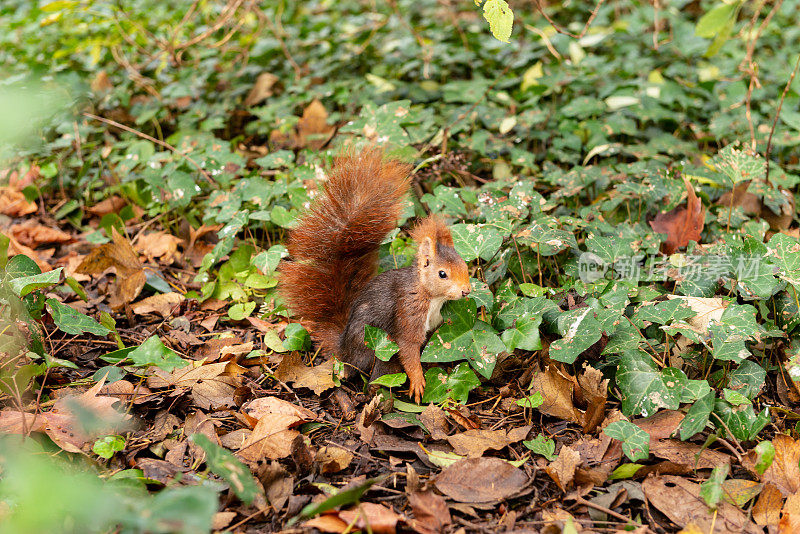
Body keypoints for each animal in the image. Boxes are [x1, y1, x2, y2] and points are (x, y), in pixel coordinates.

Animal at [280, 147, 472, 402]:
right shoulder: (408, 314)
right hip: (377, 347)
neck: (431, 298)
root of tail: (344, 350)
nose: (466, 291)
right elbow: (408, 349)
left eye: (465, 266)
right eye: (442, 274)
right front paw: (418, 381)